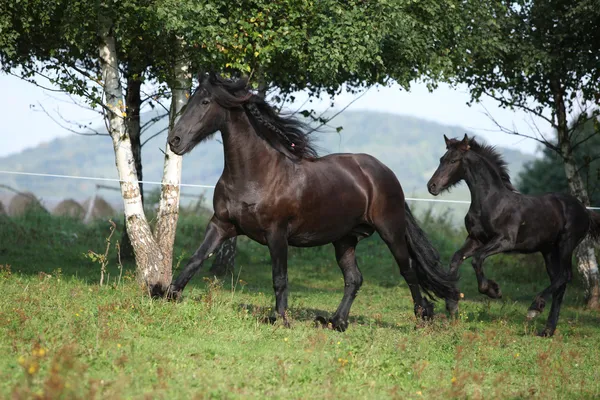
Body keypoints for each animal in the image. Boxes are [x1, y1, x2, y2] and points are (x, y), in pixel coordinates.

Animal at [156, 73, 460, 330]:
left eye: (205, 102)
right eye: (190, 99)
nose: (175, 140)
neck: (255, 174)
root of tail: (385, 173)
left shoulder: (276, 234)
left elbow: (279, 277)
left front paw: (280, 319)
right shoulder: (221, 224)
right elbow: (195, 259)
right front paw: (166, 294)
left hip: (391, 231)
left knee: (407, 270)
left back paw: (423, 316)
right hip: (345, 239)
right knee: (354, 278)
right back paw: (335, 322)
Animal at [426, 135, 600, 338]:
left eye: (454, 160)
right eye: (441, 159)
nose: (432, 186)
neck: (491, 202)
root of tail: (585, 211)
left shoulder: (504, 241)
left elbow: (477, 259)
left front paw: (493, 290)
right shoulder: (475, 239)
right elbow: (456, 258)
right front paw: (452, 304)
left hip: (566, 244)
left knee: (565, 275)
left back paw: (534, 308)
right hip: (548, 251)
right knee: (559, 282)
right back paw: (547, 330)